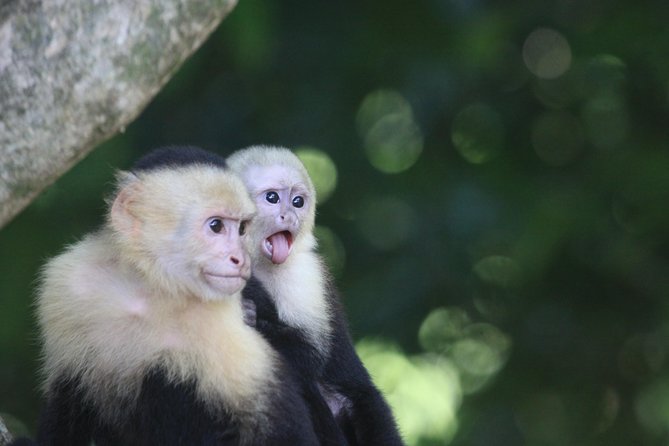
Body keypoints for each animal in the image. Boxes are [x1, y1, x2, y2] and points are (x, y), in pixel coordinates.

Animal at [16, 152, 326, 444]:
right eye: (216, 226)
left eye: (241, 229)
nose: (240, 259)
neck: (150, 288)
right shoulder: (67, 285)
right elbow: (66, 392)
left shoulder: (224, 318)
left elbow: (281, 424)